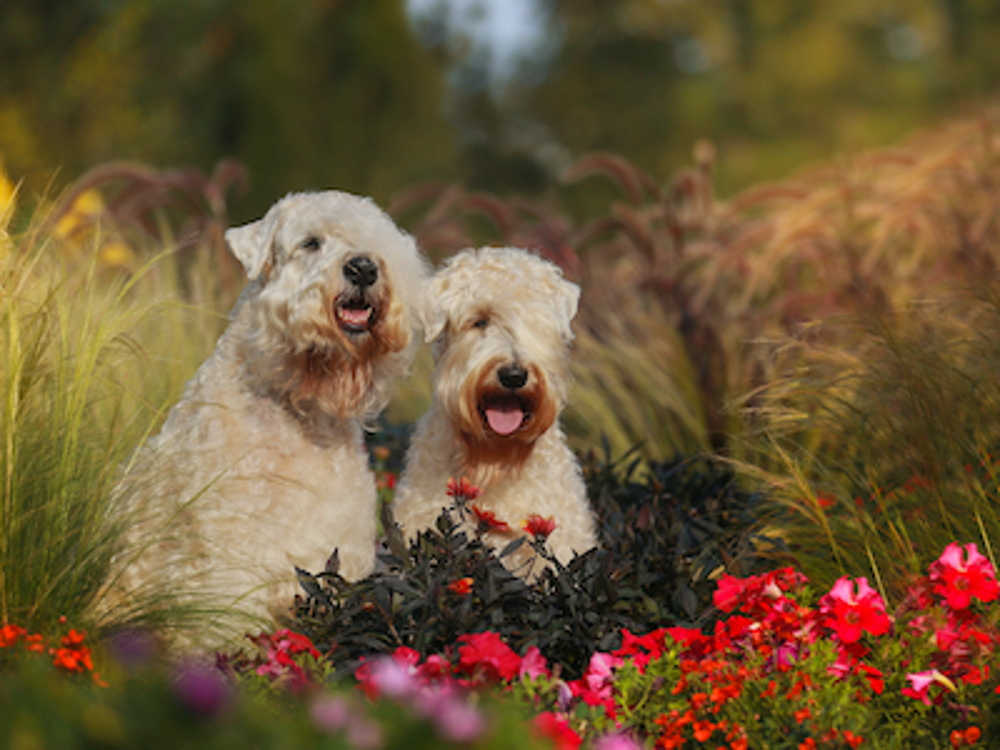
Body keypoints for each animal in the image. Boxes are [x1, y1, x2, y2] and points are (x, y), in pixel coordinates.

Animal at [105, 191, 426, 636]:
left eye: (380, 242)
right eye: (310, 242)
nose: (363, 268)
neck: (300, 410)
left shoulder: (342, 544)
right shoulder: (228, 547)